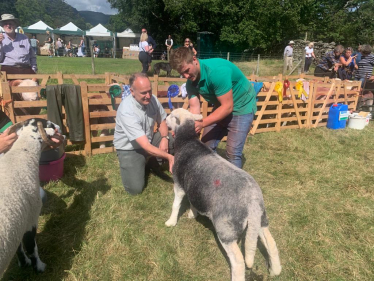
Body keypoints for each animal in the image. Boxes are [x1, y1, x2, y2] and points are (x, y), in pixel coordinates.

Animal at [0, 117, 57, 274]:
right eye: (49, 124)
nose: (58, 127)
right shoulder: (30, 219)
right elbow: (32, 248)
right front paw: (39, 267)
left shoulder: (16, 225)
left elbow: (18, 248)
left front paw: (24, 262)